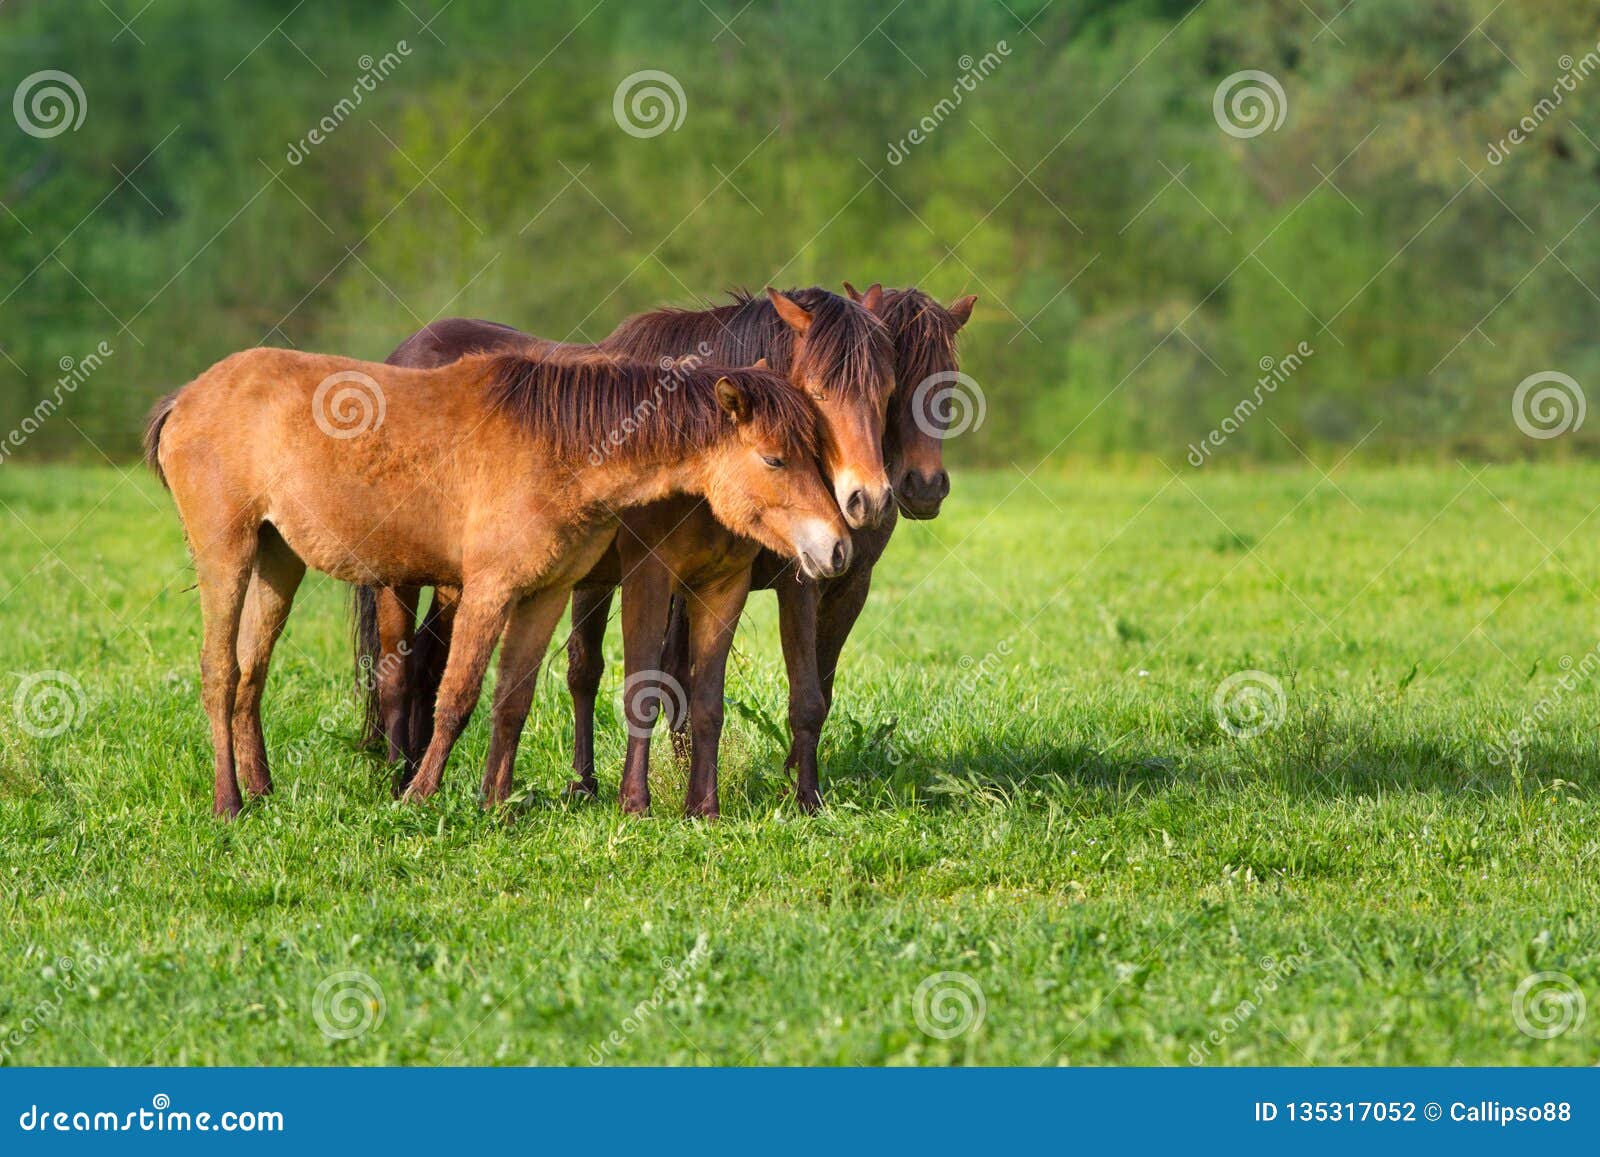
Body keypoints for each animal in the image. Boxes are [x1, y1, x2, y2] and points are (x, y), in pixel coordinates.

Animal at [144, 342, 857, 816]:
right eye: (775, 458)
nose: (838, 547)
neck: (563, 446)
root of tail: (186, 396)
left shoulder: (544, 594)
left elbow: (512, 699)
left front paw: (494, 801)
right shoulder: (489, 591)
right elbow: (457, 697)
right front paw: (419, 797)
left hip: (277, 561)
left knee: (250, 673)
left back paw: (262, 790)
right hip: (228, 554)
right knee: (219, 672)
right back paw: (229, 802)